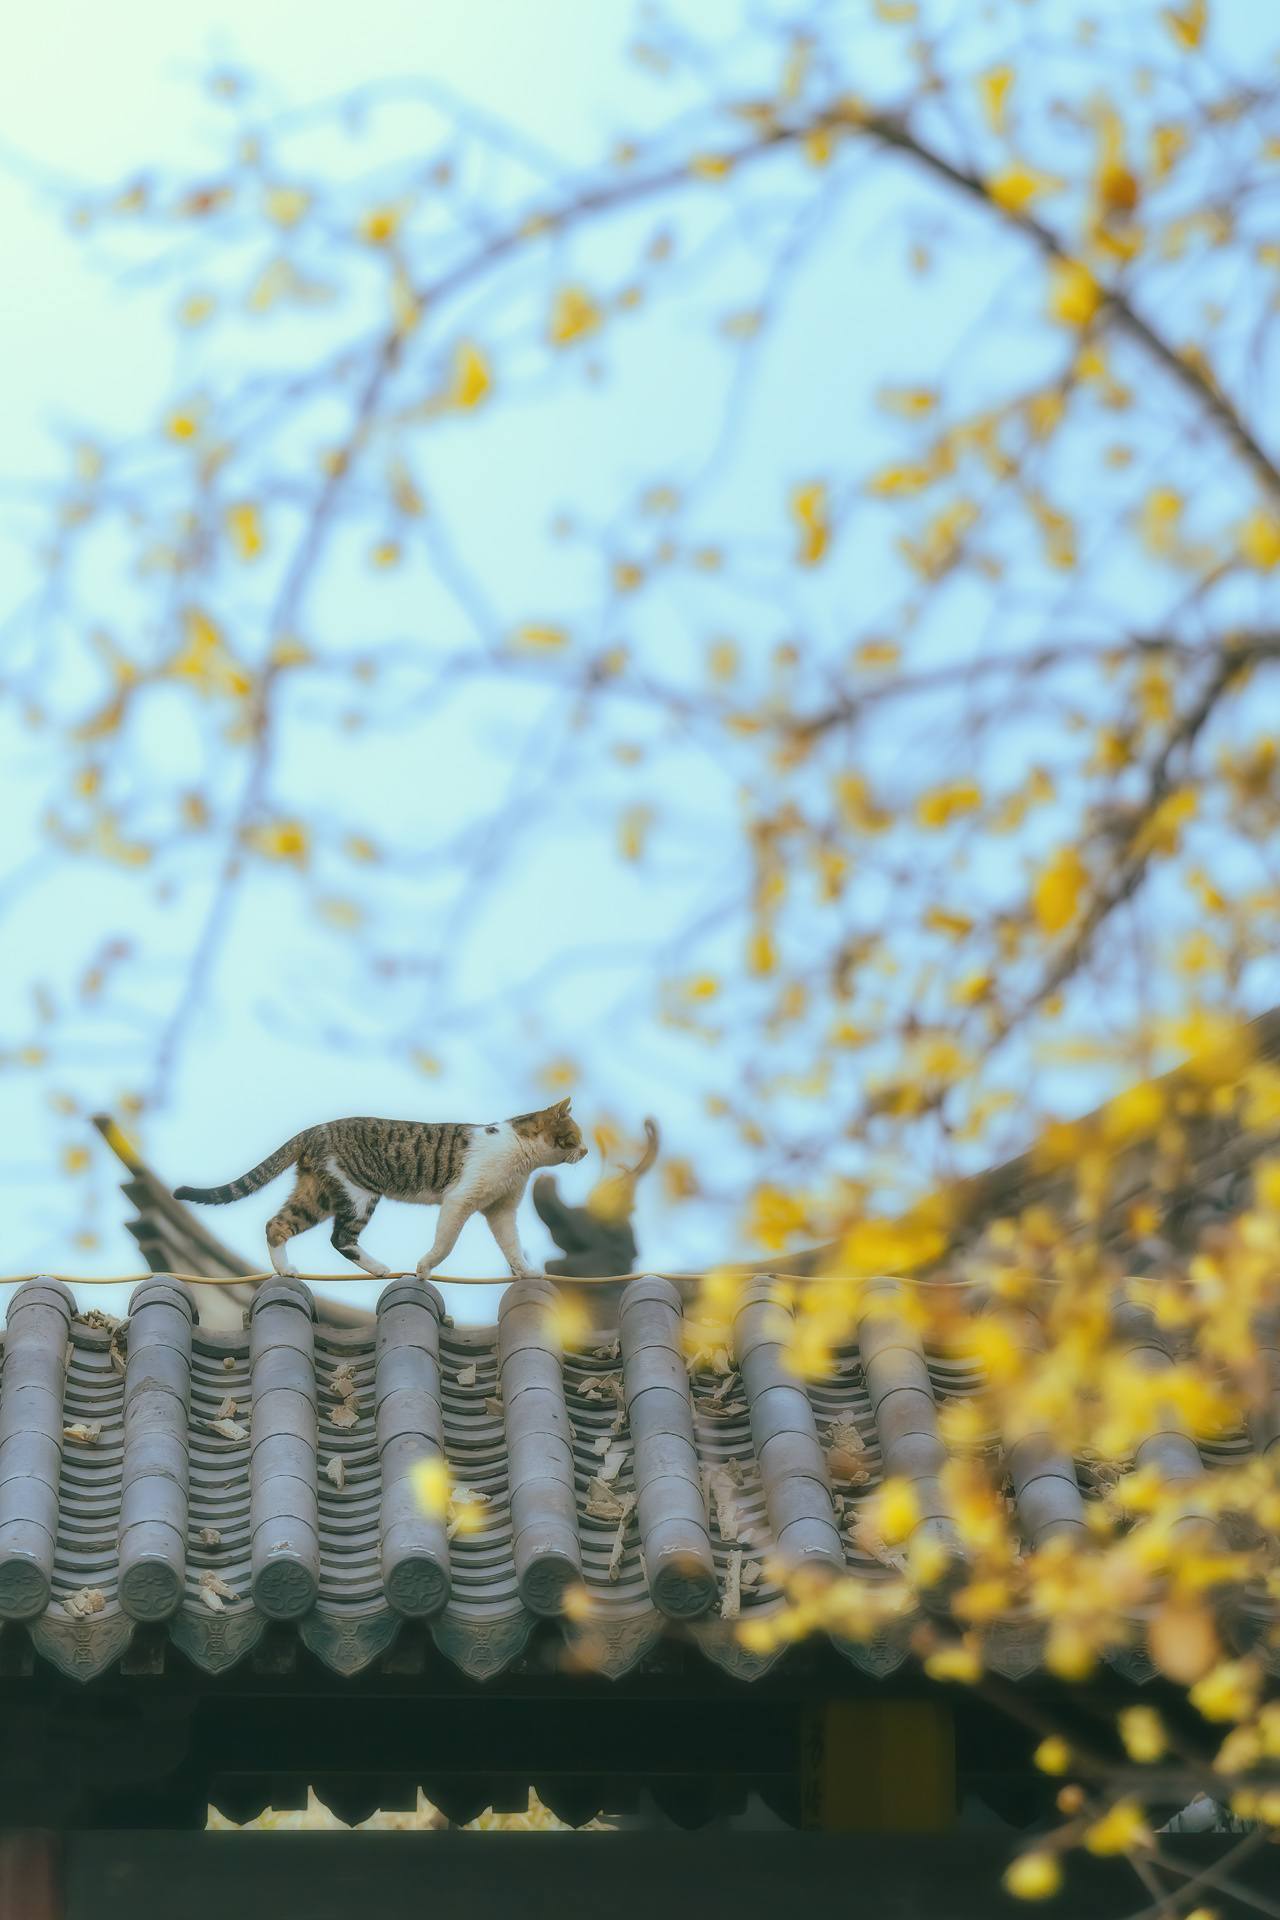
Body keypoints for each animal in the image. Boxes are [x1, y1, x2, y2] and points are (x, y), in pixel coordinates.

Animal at [173, 1105, 587, 1282]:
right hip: (358, 1194)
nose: (586, 1151)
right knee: (340, 1238)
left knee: (276, 1224)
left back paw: (286, 1269)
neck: (521, 1155)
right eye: (575, 1136)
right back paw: (380, 1268)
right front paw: (424, 1269)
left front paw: (526, 1272)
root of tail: (314, 1129)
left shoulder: (501, 1209)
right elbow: (445, 1243)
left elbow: (512, 1246)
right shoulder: (461, 1199)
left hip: (317, 1194)